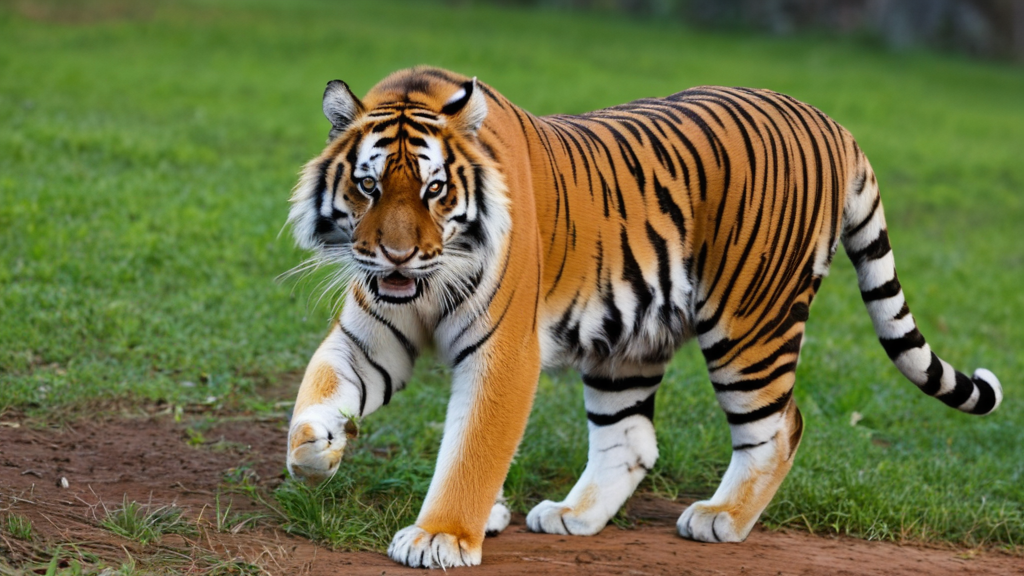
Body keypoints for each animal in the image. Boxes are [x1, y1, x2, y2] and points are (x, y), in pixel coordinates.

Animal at [284, 66, 1003, 568]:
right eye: (369, 186)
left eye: (435, 190)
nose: (397, 255)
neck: (424, 287)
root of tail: (833, 124)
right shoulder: (369, 337)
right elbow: (316, 391)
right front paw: (318, 450)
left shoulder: (504, 352)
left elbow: (473, 450)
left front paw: (441, 537)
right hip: (627, 339)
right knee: (629, 439)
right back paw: (572, 514)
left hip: (750, 323)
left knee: (779, 425)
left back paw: (721, 517)